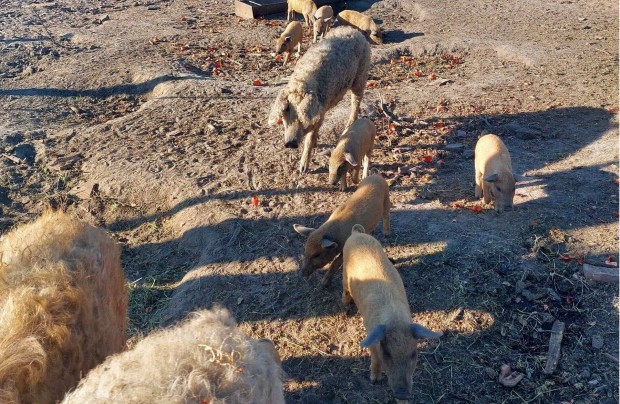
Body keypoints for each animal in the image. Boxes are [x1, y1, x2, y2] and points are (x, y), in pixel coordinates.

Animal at [268, 26, 370, 174]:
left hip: (361, 76)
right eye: (286, 110)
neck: (302, 83)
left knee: (356, 102)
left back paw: (348, 126)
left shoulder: (320, 115)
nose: (290, 143)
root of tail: (355, 31)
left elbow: (309, 140)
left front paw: (302, 170)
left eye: (302, 114)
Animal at [342, 226, 444, 402]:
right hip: (344, 271)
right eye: (387, 354)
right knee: (345, 289)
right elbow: (375, 360)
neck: (395, 320)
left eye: (413, 354)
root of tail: (356, 233)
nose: (402, 393)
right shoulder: (371, 336)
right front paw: (374, 381)